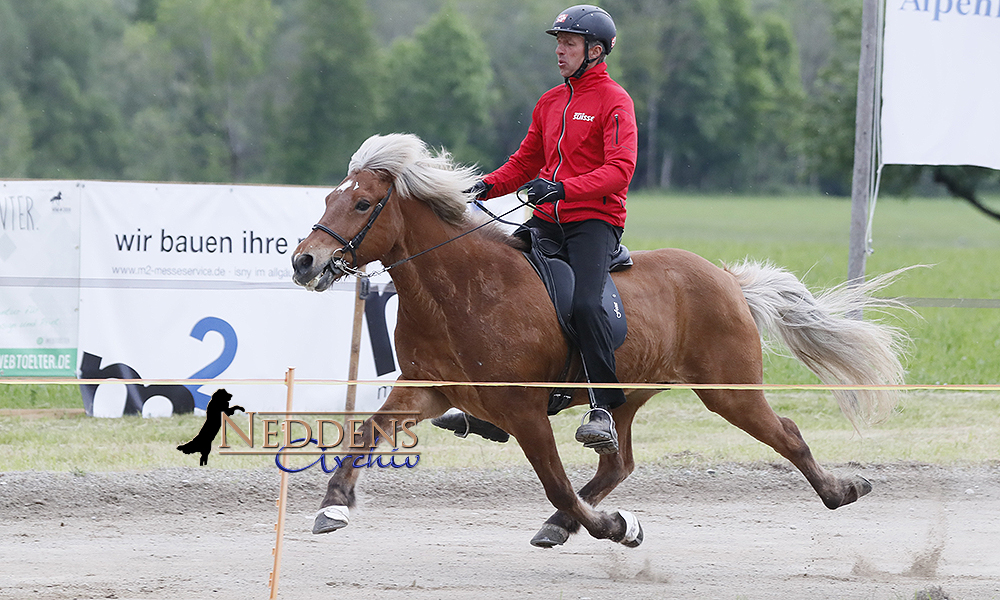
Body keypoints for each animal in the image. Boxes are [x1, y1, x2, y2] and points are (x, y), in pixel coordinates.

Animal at [290, 132, 908, 548]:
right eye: (327, 200)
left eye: (362, 204)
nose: (304, 262)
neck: (461, 290)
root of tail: (727, 279)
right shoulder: (427, 388)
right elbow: (364, 434)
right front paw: (334, 506)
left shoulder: (524, 410)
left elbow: (556, 483)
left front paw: (615, 526)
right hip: (624, 396)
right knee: (617, 464)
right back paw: (569, 523)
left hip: (729, 391)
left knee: (788, 434)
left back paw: (841, 491)